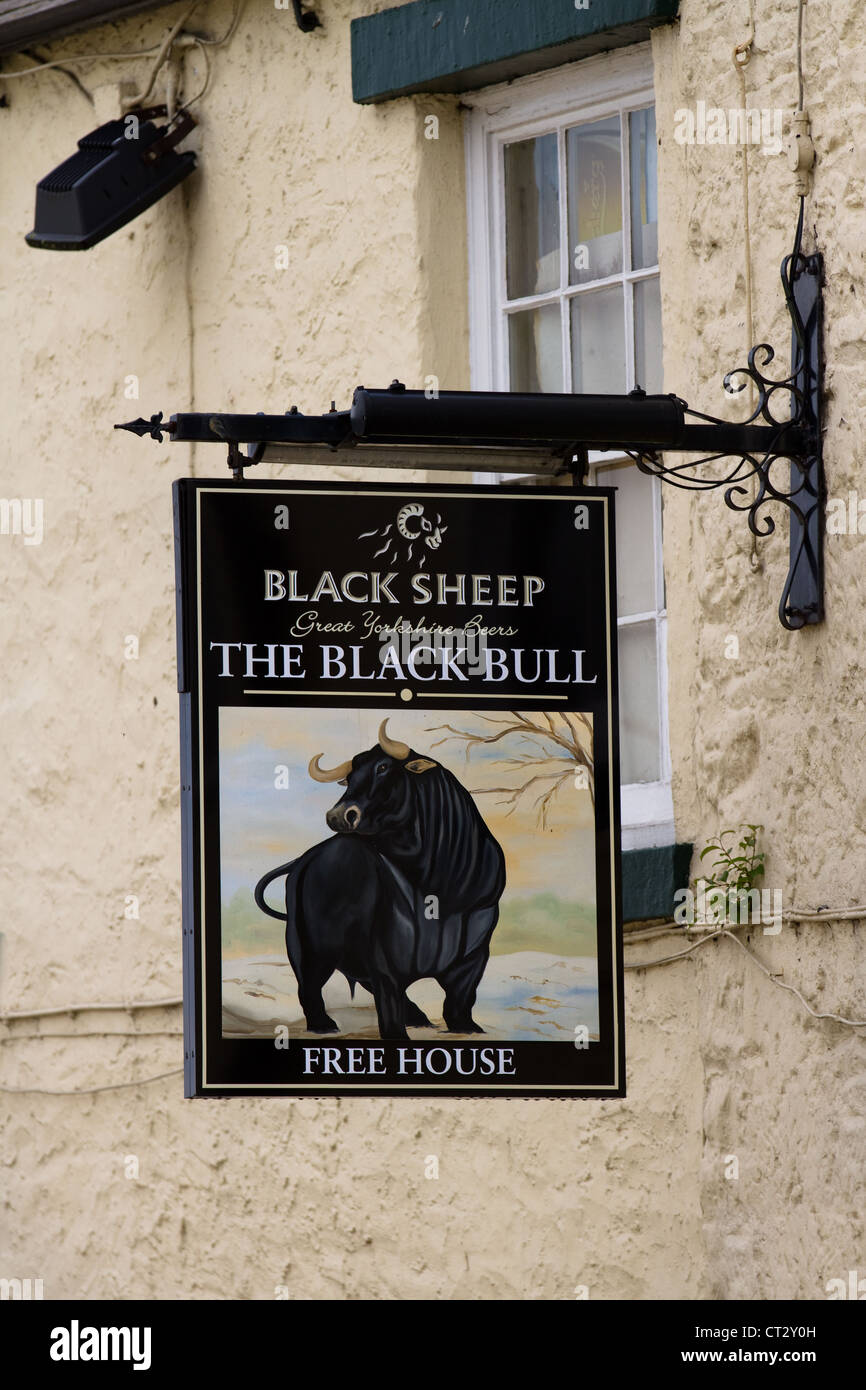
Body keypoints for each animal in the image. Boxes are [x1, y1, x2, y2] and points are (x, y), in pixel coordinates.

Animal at [254, 722, 505, 1039]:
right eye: (350, 777)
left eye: (383, 767)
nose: (338, 816)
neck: (440, 885)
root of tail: (305, 860)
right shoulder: (385, 958)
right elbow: (389, 1002)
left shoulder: (475, 953)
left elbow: (461, 998)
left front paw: (467, 1027)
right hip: (303, 943)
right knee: (309, 985)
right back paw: (324, 1024)